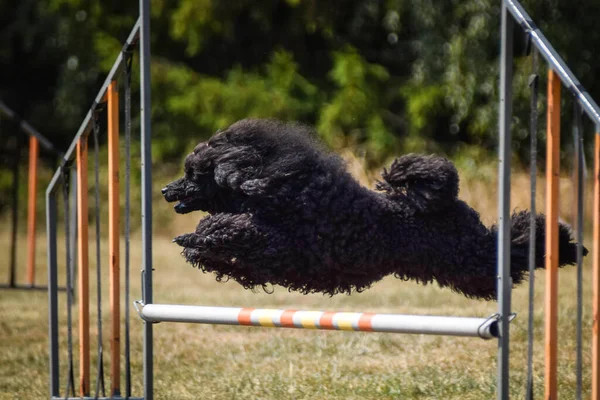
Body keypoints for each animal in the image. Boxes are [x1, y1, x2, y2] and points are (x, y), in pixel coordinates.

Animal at [163, 119, 584, 300]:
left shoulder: (275, 242)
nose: (167, 190)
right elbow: (215, 248)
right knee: (509, 249)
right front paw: (194, 247)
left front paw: (195, 238)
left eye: (193, 173)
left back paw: (564, 245)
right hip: (462, 267)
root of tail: (444, 201)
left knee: (513, 248)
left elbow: (224, 228)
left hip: (469, 258)